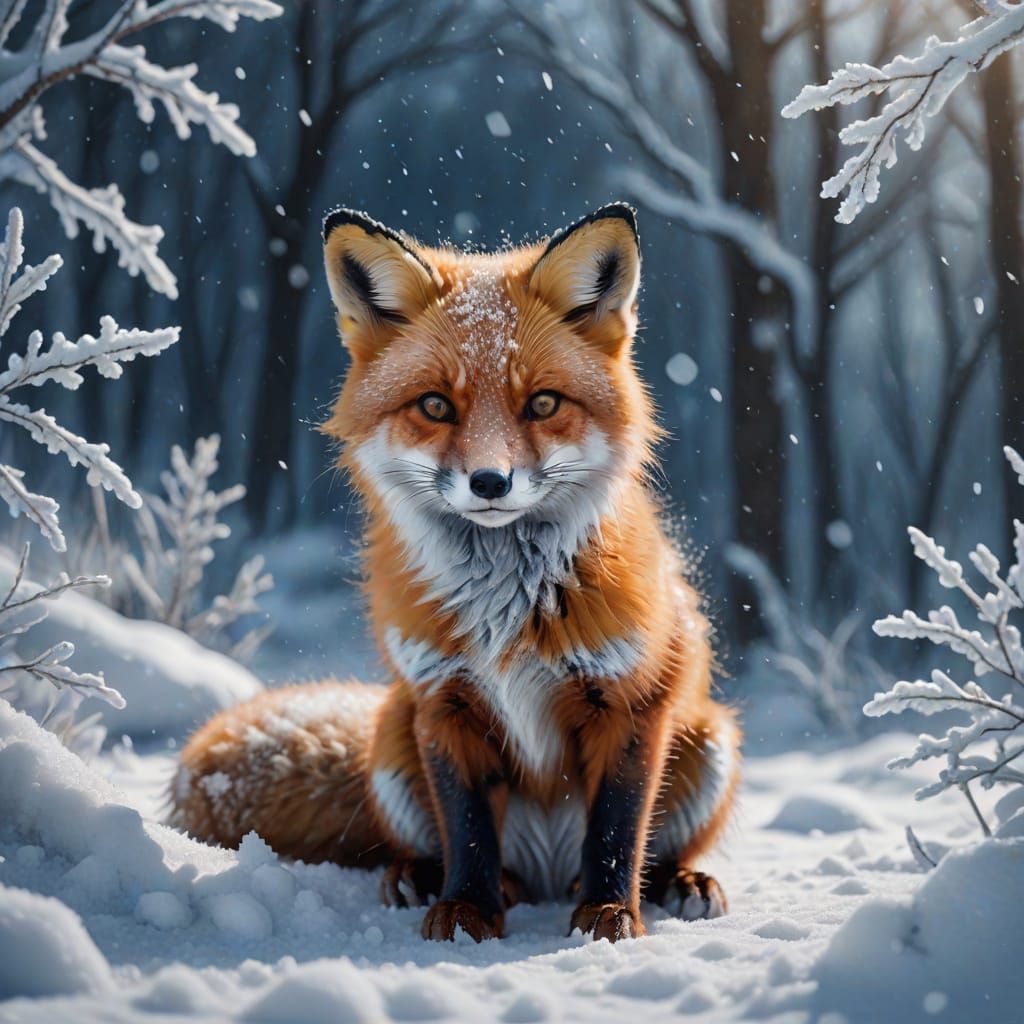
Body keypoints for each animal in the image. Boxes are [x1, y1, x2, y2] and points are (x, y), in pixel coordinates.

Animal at [170, 203, 740, 943]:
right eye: (436, 406)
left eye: (543, 404)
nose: (490, 482)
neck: (508, 607)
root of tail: (549, 874)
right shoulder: (444, 702)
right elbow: (467, 828)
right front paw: (467, 910)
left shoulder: (631, 701)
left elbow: (617, 832)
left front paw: (610, 915)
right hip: (393, 733)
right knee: (453, 850)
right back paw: (431, 879)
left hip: (709, 737)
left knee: (646, 849)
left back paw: (675, 882)